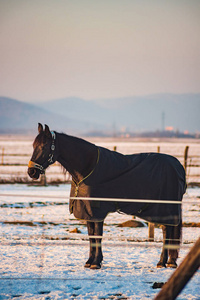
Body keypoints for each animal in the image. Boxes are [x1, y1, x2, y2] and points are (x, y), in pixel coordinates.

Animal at [27, 123, 186, 270]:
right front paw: (90, 261)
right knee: (167, 230)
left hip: (165, 209)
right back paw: (169, 262)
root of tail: (178, 167)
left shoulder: (97, 211)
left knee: (167, 232)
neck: (88, 168)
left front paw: (96, 263)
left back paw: (162, 262)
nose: (31, 172)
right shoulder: (88, 212)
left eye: (45, 146)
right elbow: (91, 236)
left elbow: (97, 235)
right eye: (33, 145)